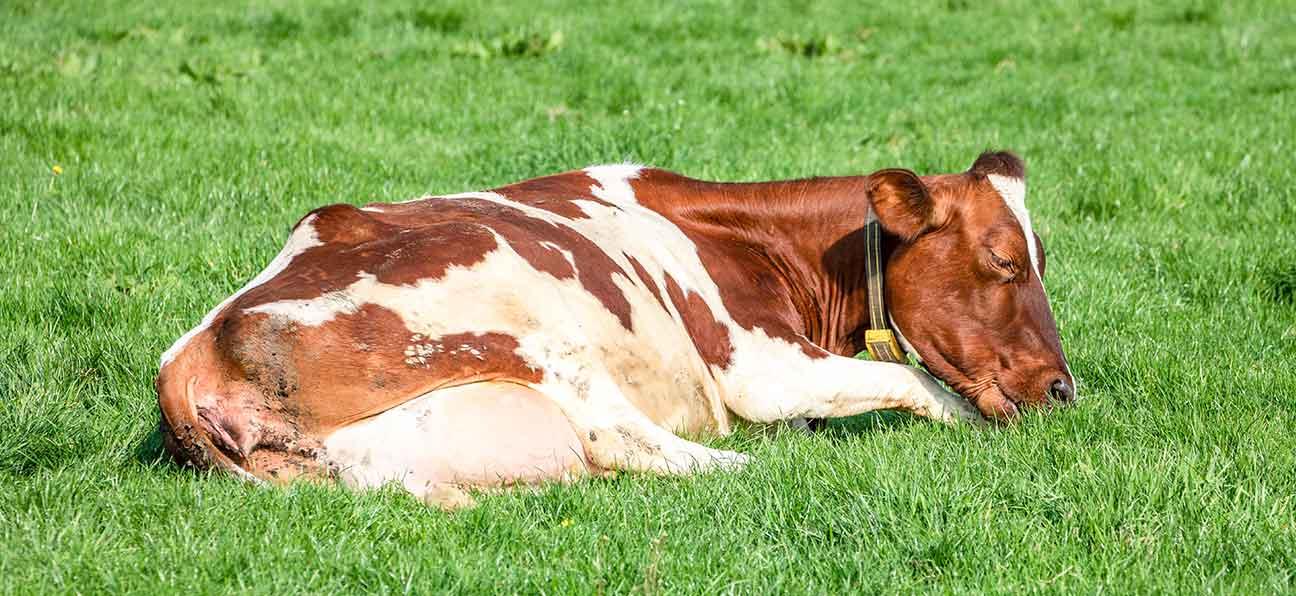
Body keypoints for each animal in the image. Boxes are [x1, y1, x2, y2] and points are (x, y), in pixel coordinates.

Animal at [156, 151, 1074, 508]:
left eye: (1040, 258)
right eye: (1002, 260)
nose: (1064, 389)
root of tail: (193, 352)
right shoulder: (764, 366)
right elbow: (910, 378)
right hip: (530, 323)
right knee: (625, 439)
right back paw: (749, 468)